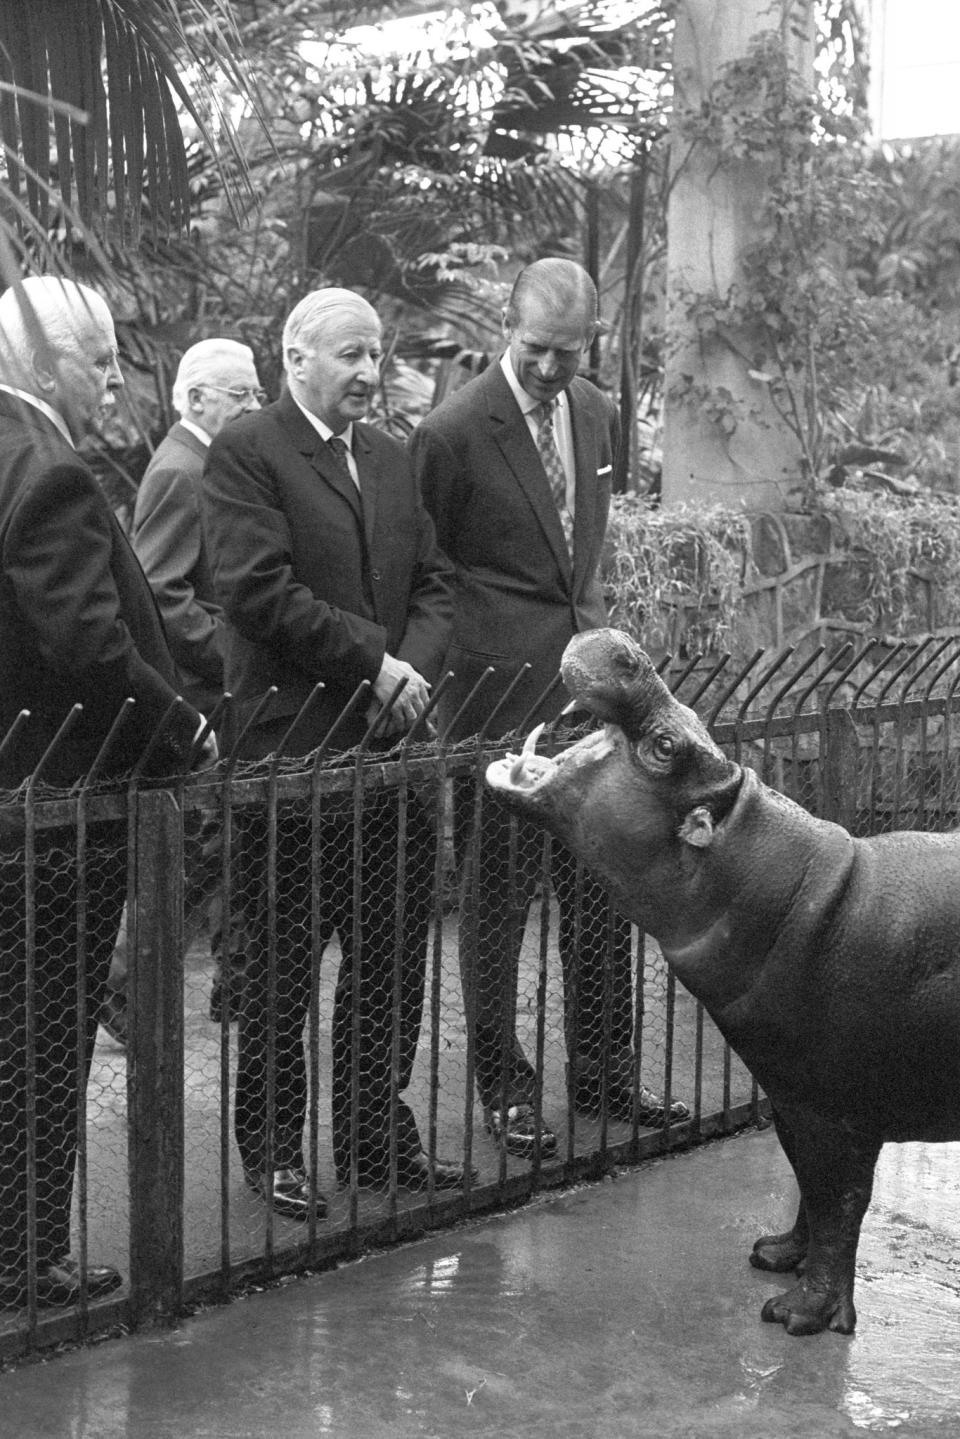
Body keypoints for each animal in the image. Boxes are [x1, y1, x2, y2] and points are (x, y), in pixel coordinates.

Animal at [489, 630, 960, 1335]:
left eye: (666, 747)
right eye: (686, 723)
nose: (627, 649)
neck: (792, 893)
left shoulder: (840, 1110)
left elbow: (841, 1201)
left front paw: (800, 1315)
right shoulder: (790, 1094)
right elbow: (807, 1187)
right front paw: (776, 1255)